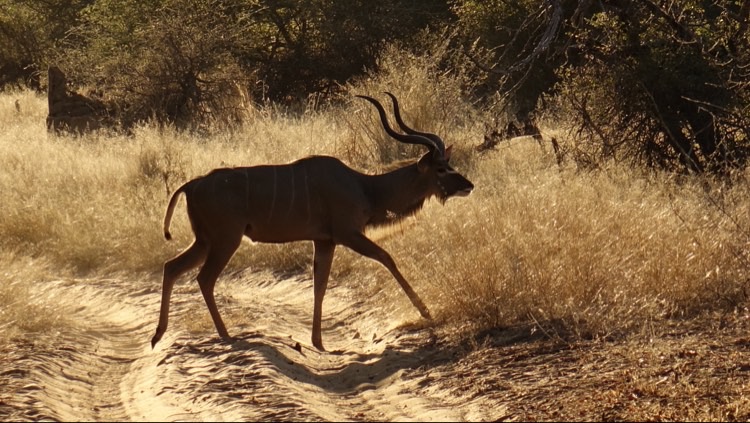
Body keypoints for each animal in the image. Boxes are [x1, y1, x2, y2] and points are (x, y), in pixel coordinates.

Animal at [152, 93, 476, 352]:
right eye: (441, 168)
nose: (468, 186)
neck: (365, 187)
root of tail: (191, 185)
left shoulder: (324, 241)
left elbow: (320, 284)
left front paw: (318, 341)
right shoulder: (347, 234)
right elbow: (387, 258)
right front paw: (426, 312)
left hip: (205, 240)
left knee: (172, 267)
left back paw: (158, 336)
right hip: (225, 239)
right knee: (204, 278)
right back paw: (225, 334)